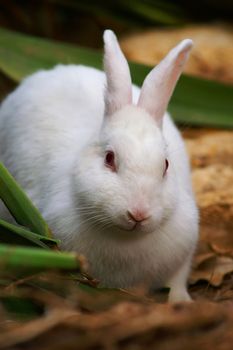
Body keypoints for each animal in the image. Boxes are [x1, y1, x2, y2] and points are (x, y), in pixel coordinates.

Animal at [0, 30, 198, 300]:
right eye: (109, 159)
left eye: (166, 165)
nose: (138, 214)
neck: (124, 239)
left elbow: (177, 280)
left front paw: (180, 301)